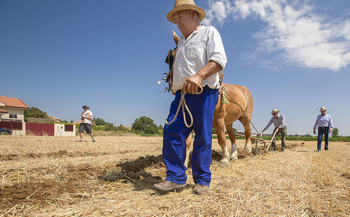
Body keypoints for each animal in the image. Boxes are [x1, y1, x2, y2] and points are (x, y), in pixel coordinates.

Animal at [163, 31, 253, 166]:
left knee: (248, 131)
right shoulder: (190, 117)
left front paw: (224, 159)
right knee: (232, 136)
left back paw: (247, 149)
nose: (172, 83)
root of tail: (245, 90)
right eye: (171, 57)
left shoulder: (218, 120)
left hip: (245, 116)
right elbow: (188, 141)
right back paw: (234, 156)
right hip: (229, 121)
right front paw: (184, 163)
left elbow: (221, 139)